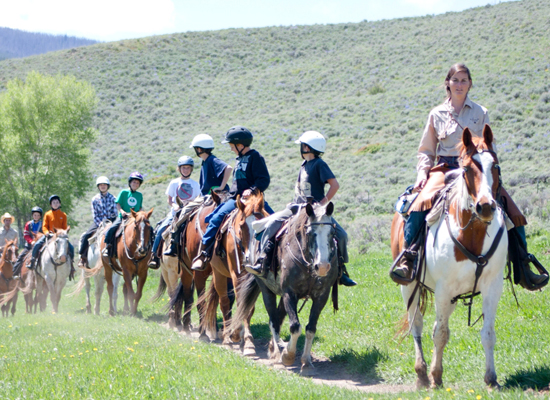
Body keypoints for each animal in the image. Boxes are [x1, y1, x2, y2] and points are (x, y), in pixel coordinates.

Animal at [203, 189, 272, 354]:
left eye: (262, 228)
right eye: (242, 227)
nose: (250, 257)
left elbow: (248, 307)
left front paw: (247, 341)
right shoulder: (237, 274)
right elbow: (240, 302)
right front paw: (238, 336)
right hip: (220, 275)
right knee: (224, 303)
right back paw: (227, 338)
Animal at [231, 202, 338, 374]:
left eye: (332, 232)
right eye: (310, 233)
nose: (322, 266)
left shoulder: (321, 296)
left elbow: (310, 328)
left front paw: (306, 361)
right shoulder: (290, 293)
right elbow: (295, 326)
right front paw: (287, 355)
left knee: (278, 317)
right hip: (266, 289)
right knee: (273, 320)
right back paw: (276, 354)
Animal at [392, 126, 508, 390]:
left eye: (495, 166)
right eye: (466, 170)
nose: (486, 207)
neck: (472, 235)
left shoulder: (492, 286)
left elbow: (488, 333)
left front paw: (491, 379)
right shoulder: (443, 289)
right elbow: (441, 334)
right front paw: (435, 376)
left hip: (452, 297)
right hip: (410, 286)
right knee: (418, 324)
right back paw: (422, 373)